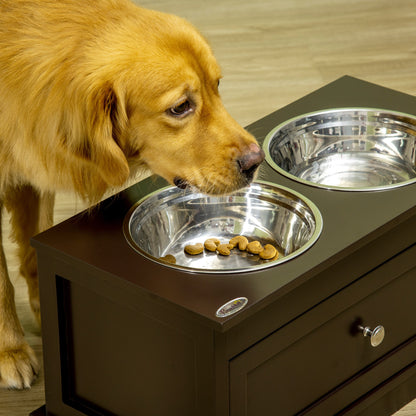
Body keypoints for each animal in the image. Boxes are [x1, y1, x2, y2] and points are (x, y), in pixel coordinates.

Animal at [0, 0, 264, 388]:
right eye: (180, 107)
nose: (255, 161)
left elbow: (35, 250)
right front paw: (11, 351)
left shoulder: (34, 160)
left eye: (217, 86)